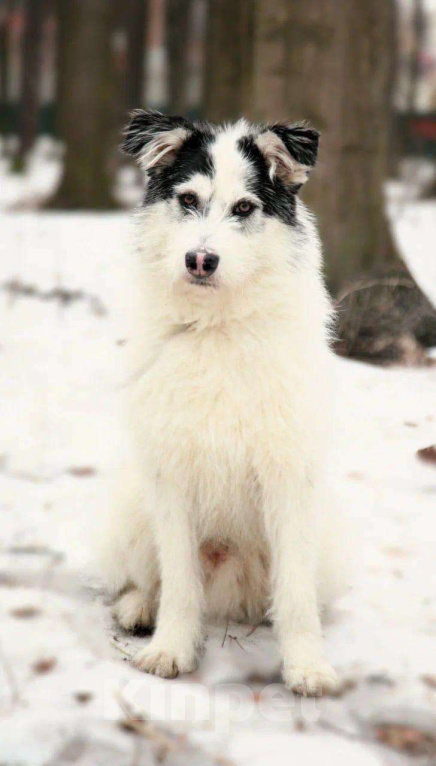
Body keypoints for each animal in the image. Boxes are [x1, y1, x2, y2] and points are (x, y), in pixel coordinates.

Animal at [99, 109, 348, 704]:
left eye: (244, 208)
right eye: (188, 199)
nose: (200, 260)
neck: (217, 326)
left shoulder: (289, 477)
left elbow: (296, 595)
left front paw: (307, 667)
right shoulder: (170, 476)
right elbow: (178, 582)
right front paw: (170, 649)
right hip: (133, 506)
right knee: (149, 578)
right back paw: (139, 608)